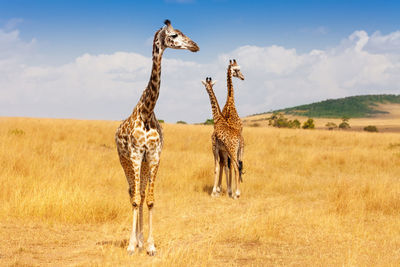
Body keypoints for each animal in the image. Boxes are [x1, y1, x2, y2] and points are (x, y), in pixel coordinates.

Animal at [115, 19, 198, 256]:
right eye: (174, 35)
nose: (195, 46)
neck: (146, 110)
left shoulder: (153, 155)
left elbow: (150, 200)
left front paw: (150, 245)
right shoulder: (135, 154)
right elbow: (135, 199)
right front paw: (131, 245)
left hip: (142, 163)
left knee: (141, 193)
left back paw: (141, 241)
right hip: (124, 160)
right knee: (132, 193)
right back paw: (135, 241)